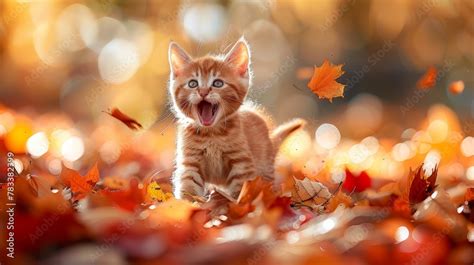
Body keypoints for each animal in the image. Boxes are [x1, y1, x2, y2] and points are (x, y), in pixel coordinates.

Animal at [168, 37, 306, 200]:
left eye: (218, 83)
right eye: (193, 83)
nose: (203, 92)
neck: (211, 134)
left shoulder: (241, 163)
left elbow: (241, 189)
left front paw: (239, 205)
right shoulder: (190, 162)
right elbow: (188, 187)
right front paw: (187, 204)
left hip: (265, 167)